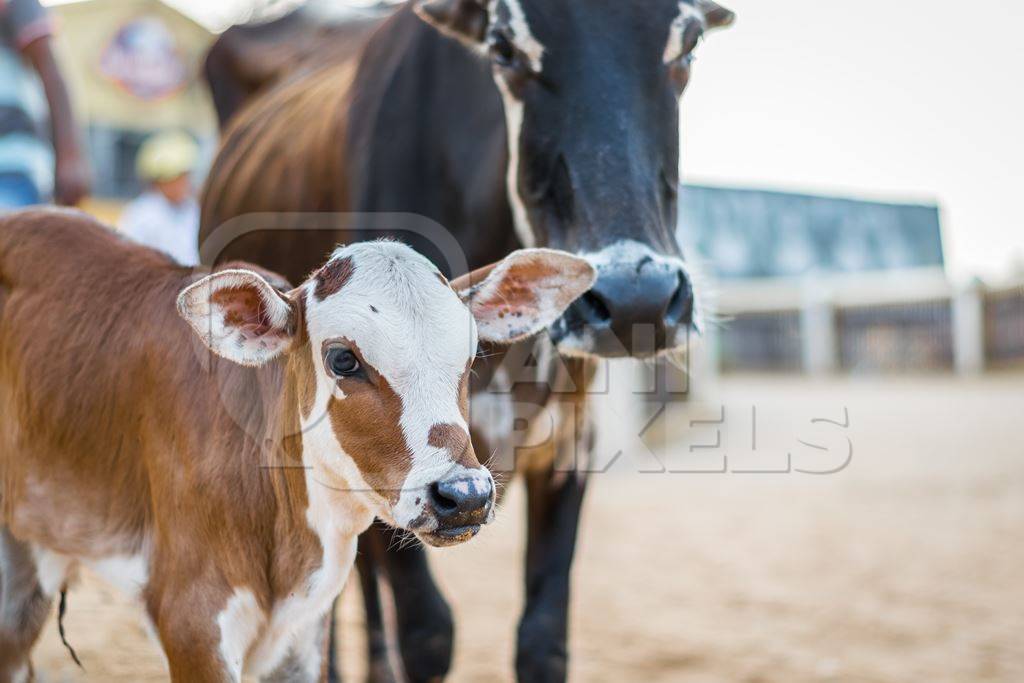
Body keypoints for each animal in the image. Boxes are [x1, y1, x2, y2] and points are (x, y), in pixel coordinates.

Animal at [199, 2, 733, 679]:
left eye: (687, 45)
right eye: (504, 49)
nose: (640, 298)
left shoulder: (570, 439)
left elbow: (542, 640)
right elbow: (427, 632)